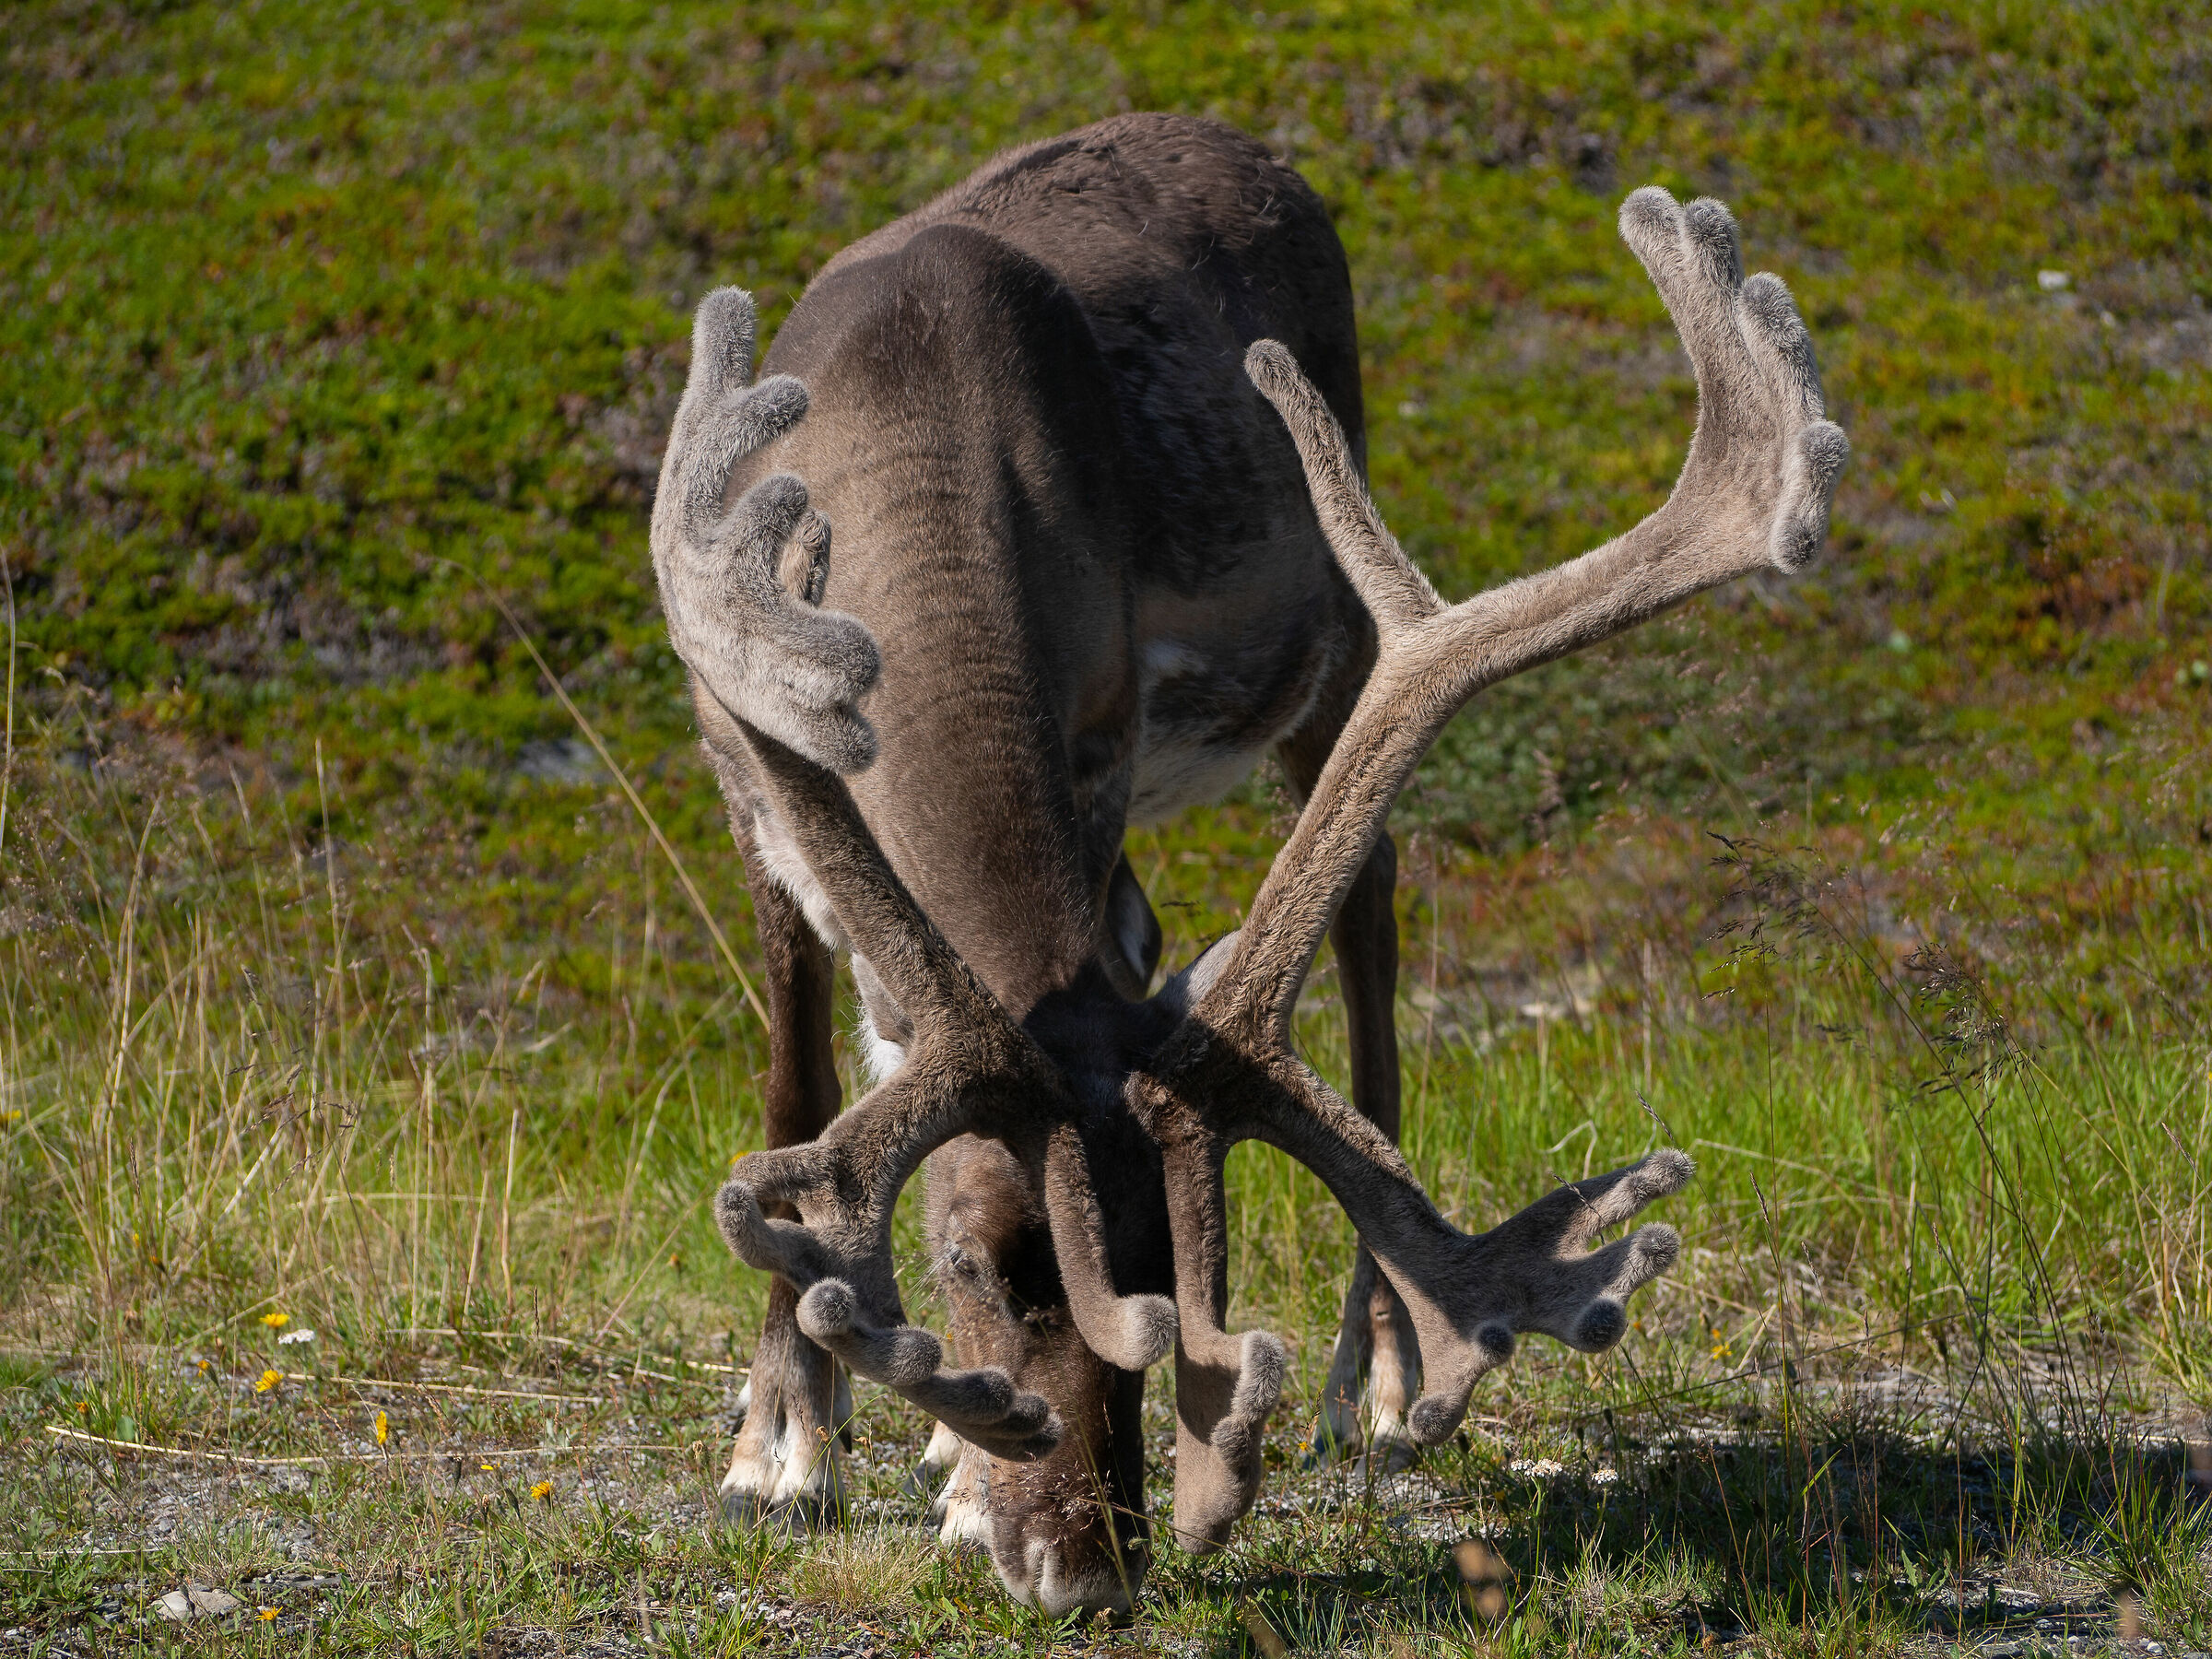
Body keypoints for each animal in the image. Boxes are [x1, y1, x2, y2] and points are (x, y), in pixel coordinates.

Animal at [650, 113, 1845, 1617]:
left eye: (1173, 1276)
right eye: (972, 1263)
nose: (1090, 1572)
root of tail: (1243, 146)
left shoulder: (1098, 735)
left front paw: (956, 1485)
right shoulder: (736, 742)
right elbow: (797, 1077)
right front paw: (786, 1449)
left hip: (1338, 645)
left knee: (1374, 931)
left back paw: (1378, 1376)